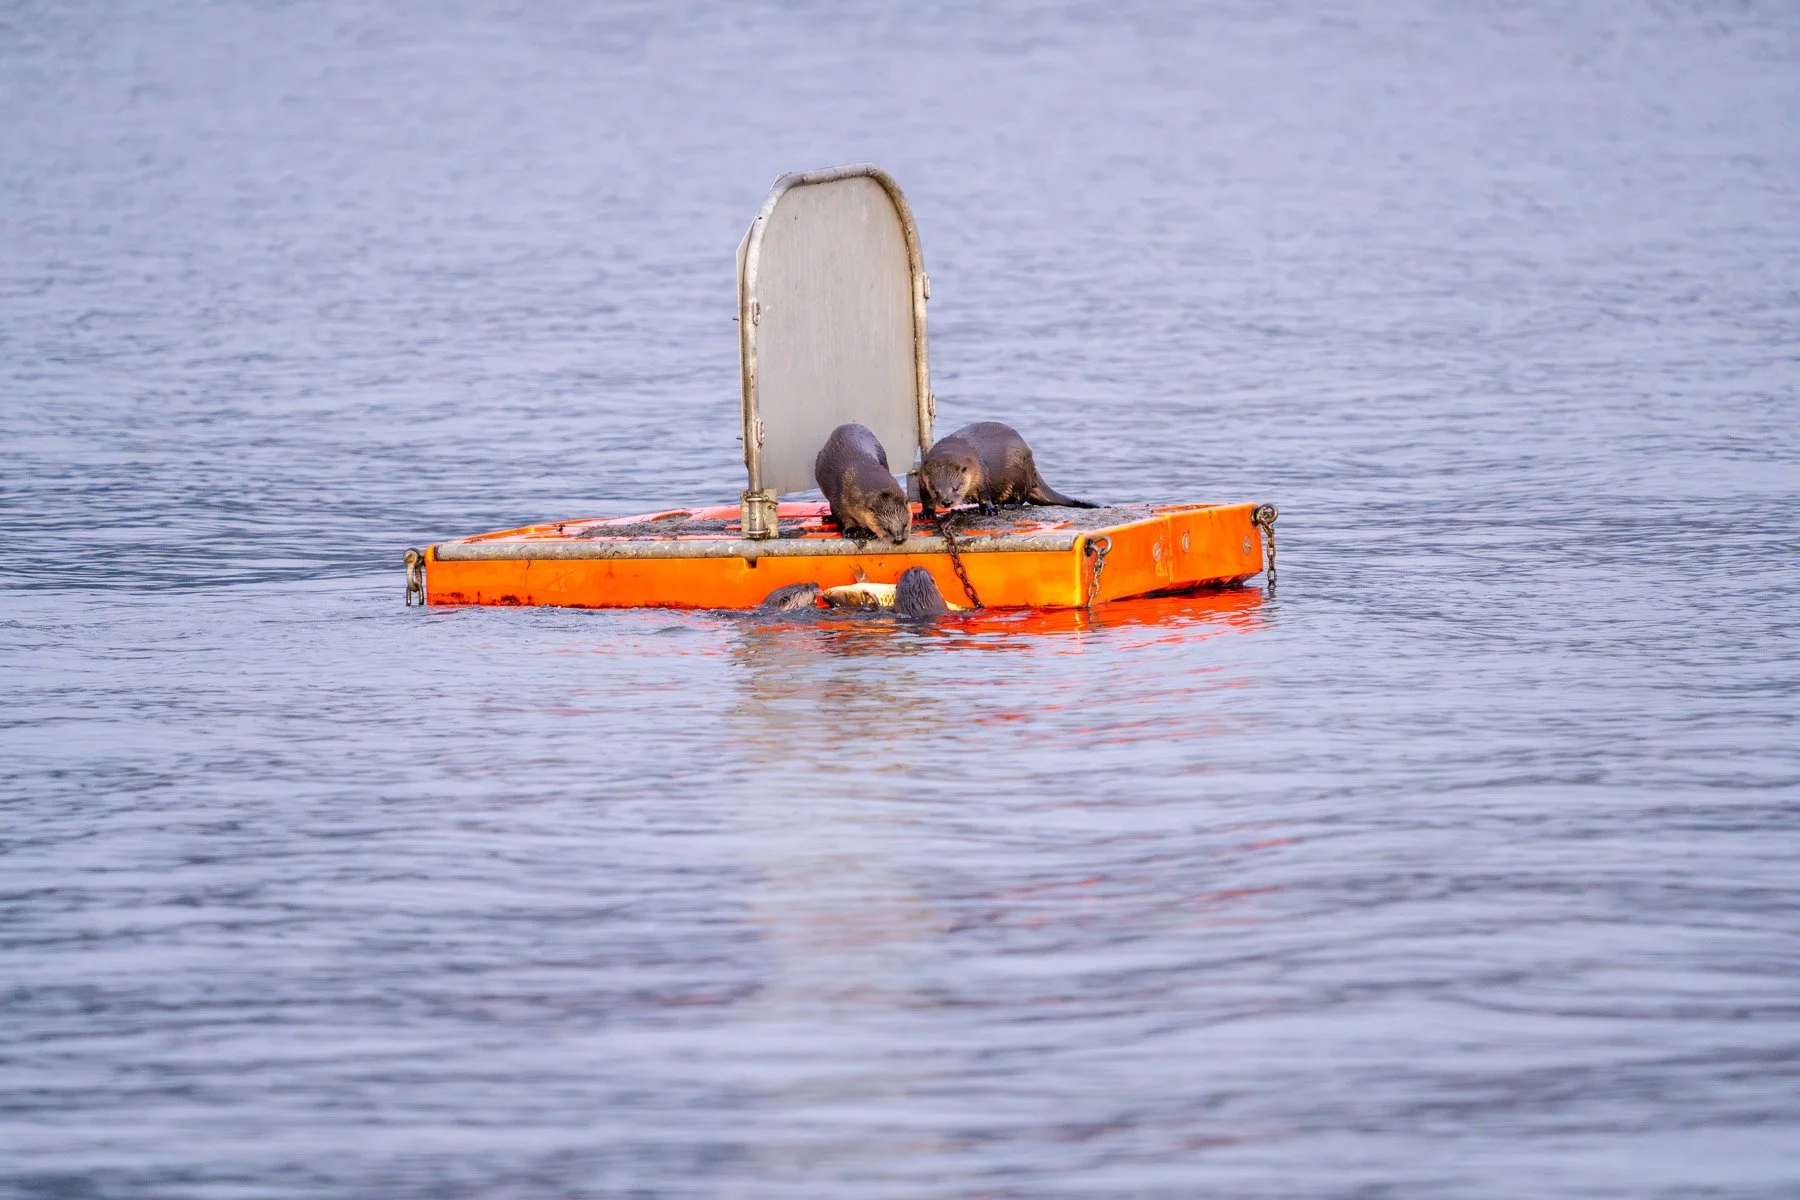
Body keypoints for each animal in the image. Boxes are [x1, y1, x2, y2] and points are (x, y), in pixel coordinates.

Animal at [920, 421, 1096, 514]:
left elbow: (984, 494)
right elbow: (925, 498)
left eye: (956, 488)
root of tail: (1032, 466)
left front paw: (989, 508)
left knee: (1022, 497)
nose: (946, 502)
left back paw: (1006, 505)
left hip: (1019, 473)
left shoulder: (981, 474)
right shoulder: (922, 479)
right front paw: (926, 512)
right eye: (935, 490)